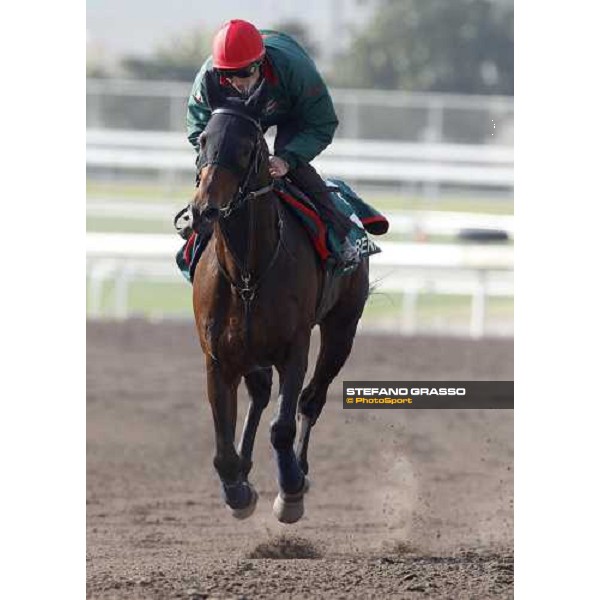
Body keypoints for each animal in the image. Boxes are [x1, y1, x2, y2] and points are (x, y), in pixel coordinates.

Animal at [192, 77, 370, 524]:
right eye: (203, 139)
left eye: (247, 146)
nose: (204, 210)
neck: (247, 271)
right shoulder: (217, 356)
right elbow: (221, 447)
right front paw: (237, 489)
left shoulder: (295, 347)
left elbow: (283, 425)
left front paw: (289, 492)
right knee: (258, 394)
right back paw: (247, 468)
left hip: (342, 329)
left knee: (311, 400)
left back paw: (299, 472)